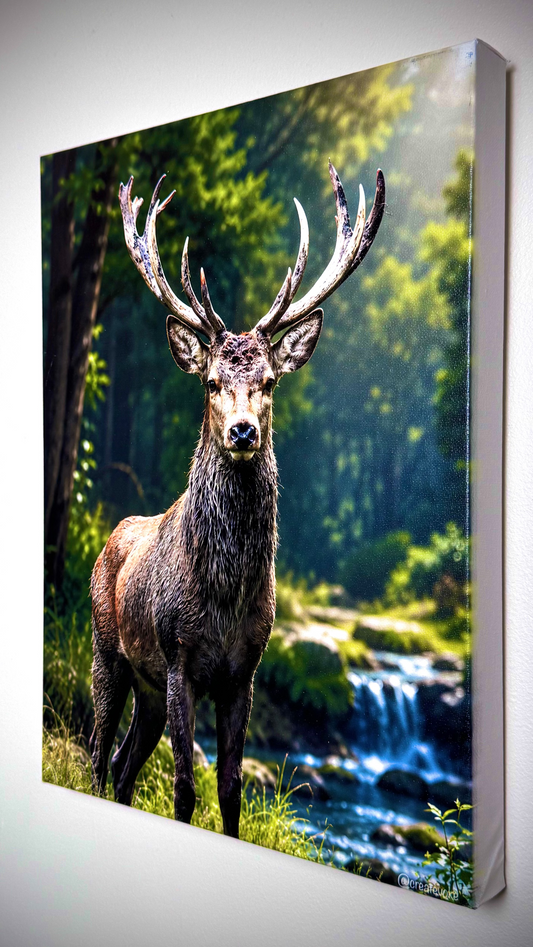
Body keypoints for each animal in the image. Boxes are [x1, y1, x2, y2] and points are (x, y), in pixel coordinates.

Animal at [90, 160, 385, 838]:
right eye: (210, 381)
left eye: (270, 381)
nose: (243, 432)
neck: (222, 599)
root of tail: (109, 538)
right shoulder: (177, 657)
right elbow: (183, 789)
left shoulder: (243, 672)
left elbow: (229, 791)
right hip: (107, 651)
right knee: (97, 752)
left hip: (145, 687)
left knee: (122, 762)